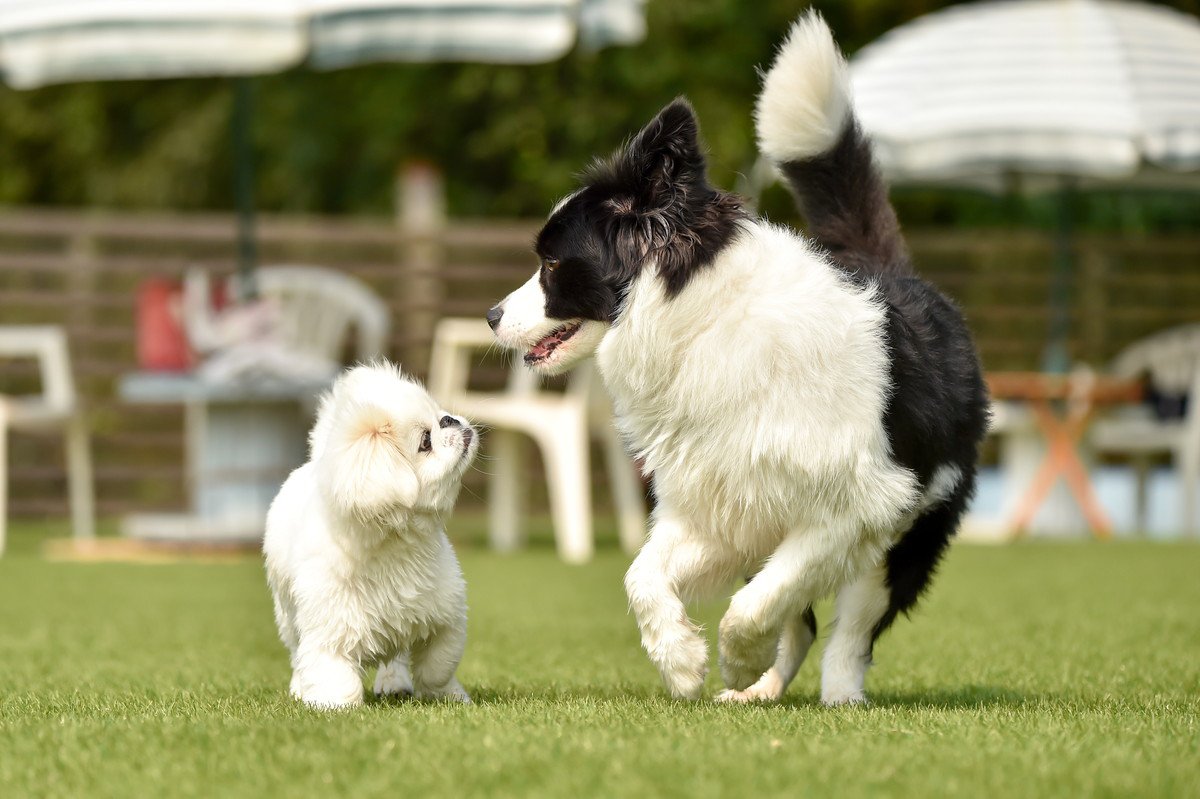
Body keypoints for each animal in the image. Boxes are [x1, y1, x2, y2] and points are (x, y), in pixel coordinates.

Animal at [264, 359, 477, 705]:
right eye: (425, 442)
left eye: (439, 415)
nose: (449, 419)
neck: (395, 547)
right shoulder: (329, 633)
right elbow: (334, 677)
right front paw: (333, 706)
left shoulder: (446, 618)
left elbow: (439, 666)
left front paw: (449, 696)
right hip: (287, 614)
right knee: (297, 654)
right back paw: (299, 689)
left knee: (398, 657)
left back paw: (395, 683)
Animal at [487, 9, 984, 700]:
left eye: (553, 264)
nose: (491, 317)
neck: (702, 321)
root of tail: (892, 271)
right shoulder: (718, 504)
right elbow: (642, 578)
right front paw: (682, 661)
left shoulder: (860, 505)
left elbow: (763, 601)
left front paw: (736, 656)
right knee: (804, 624)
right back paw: (762, 693)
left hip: (908, 533)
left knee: (848, 633)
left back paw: (835, 697)